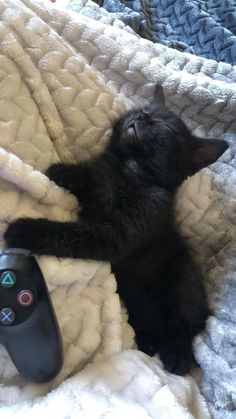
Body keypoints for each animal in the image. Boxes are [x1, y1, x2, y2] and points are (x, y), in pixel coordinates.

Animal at [5, 87, 227, 376]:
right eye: (143, 110)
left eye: (164, 125)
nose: (141, 117)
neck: (128, 171)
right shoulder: (101, 179)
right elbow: (89, 177)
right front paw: (62, 171)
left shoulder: (119, 232)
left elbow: (73, 235)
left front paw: (23, 230)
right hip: (132, 292)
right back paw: (149, 340)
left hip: (184, 279)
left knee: (186, 324)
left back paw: (177, 355)